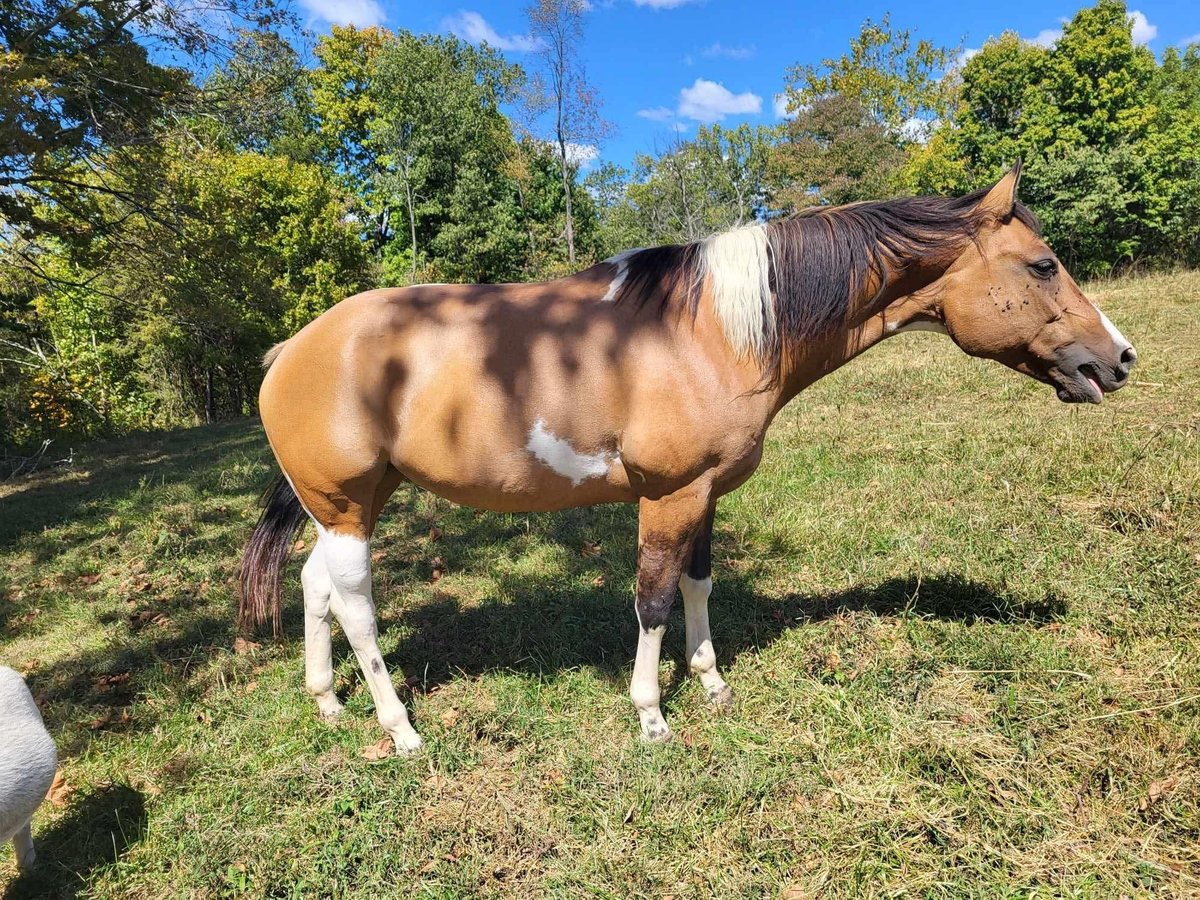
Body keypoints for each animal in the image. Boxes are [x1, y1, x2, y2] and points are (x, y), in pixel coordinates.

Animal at [238, 164, 1137, 753]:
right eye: (1044, 264)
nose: (1118, 359)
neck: (713, 330)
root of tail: (290, 350)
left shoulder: (708, 493)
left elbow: (700, 587)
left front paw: (710, 684)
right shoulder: (667, 495)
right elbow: (653, 600)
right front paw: (651, 715)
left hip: (351, 506)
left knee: (316, 585)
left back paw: (327, 703)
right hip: (346, 507)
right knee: (357, 607)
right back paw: (400, 729)